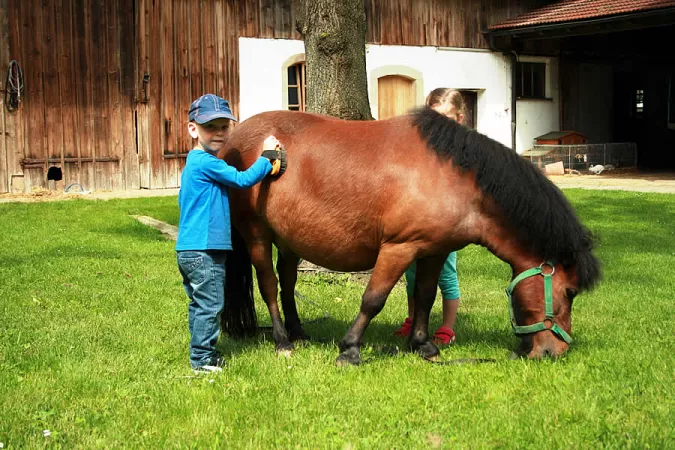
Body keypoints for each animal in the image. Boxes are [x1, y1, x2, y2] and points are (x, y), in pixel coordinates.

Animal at [218, 107, 604, 364]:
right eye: (570, 292)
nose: (554, 351)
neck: (455, 178)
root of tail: (233, 142)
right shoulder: (398, 248)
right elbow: (373, 299)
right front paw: (350, 349)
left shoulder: (433, 251)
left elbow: (426, 296)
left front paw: (423, 345)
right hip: (257, 236)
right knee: (269, 285)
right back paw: (283, 341)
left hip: (289, 240)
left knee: (287, 282)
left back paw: (298, 331)